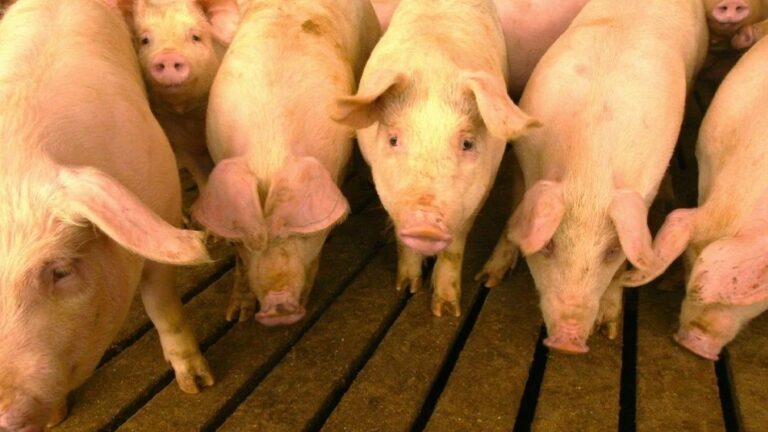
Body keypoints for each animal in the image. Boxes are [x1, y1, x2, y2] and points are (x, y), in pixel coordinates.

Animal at [0, 0, 213, 429]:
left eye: (60, 271)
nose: (3, 412)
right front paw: (56, 419)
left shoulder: (158, 194)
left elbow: (163, 308)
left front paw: (198, 385)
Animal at [113, 0, 240, 190]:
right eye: (145, 40)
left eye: (196, 37)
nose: (167, 56)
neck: (188, 117)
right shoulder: (182, 146)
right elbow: (200, 174)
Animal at [333, 0, 540, 317]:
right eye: (393, 139)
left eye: (467, 143)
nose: (425, 223)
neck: (435, 68)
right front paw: (406, 287)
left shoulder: (480, 190)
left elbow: (456, 245)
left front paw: (445, 310)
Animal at [477, 0, 708, 353]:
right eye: (549, 246)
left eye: (611, 252)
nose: (569, 341)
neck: (588, 172)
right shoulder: (523, 157)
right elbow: (514, 212)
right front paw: (488, 279)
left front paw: (610, 330)